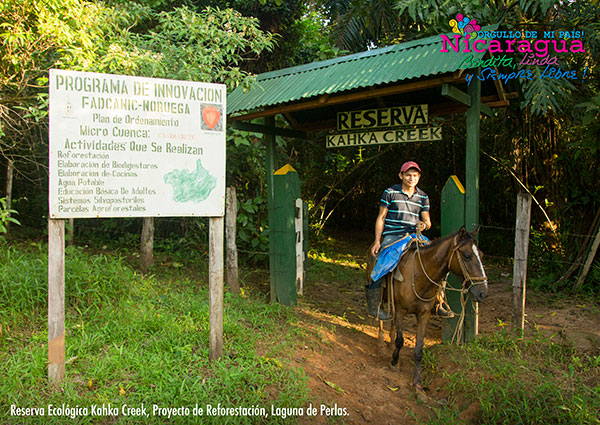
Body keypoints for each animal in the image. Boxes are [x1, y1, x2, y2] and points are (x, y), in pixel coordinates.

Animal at [366, 227, 488, 390]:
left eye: (481, 255)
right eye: (467, 256)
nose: (482, 292)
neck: (419, 274)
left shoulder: (424, 314)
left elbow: (418, 349)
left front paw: (417, 382)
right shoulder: (401, 310)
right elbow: (400, 340)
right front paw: (394, 363)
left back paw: (389, 342)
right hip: (380, 294)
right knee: (380, 315)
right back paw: (381, 343)